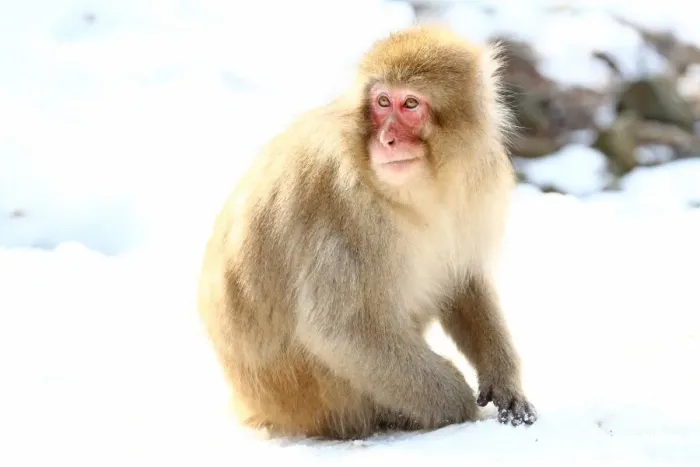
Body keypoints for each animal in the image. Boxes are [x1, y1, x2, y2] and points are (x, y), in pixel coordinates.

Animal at [197, 25, 537, 440]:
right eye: (382, 102)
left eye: (410, 104)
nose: (387, 139)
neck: (421, 188)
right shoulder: (349, 215)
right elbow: (341, 330)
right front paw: (461, 407)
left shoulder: (476, 186)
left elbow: (463, 280)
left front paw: (504, 383)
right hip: (323, 404)